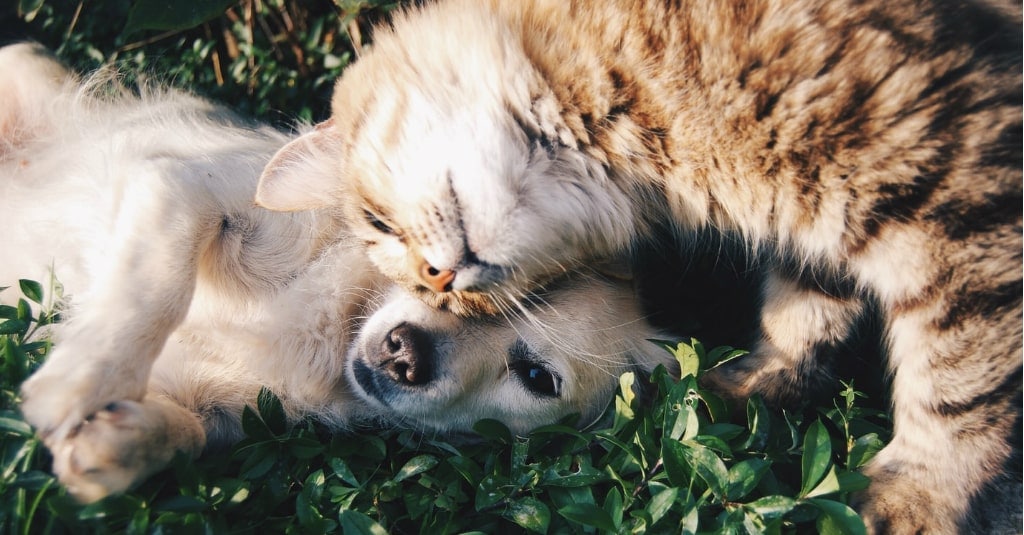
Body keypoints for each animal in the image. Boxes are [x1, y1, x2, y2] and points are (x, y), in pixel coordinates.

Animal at [2, 43, 679, 502]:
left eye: (537, 377)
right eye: (437, 272)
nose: (405, 353)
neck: (334, 328)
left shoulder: (221, 410)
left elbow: (188, 434)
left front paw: (116, 444)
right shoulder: (182, 188)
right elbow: (155, 287)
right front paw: (80, 381)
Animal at [251, 2, 1019, 528]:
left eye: (379, 225)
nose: (439, 283)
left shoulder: (956, 193)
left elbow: (955, 382)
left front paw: (919, 492)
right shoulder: (822, 220)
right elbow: (804, 308)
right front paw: (754, 383)